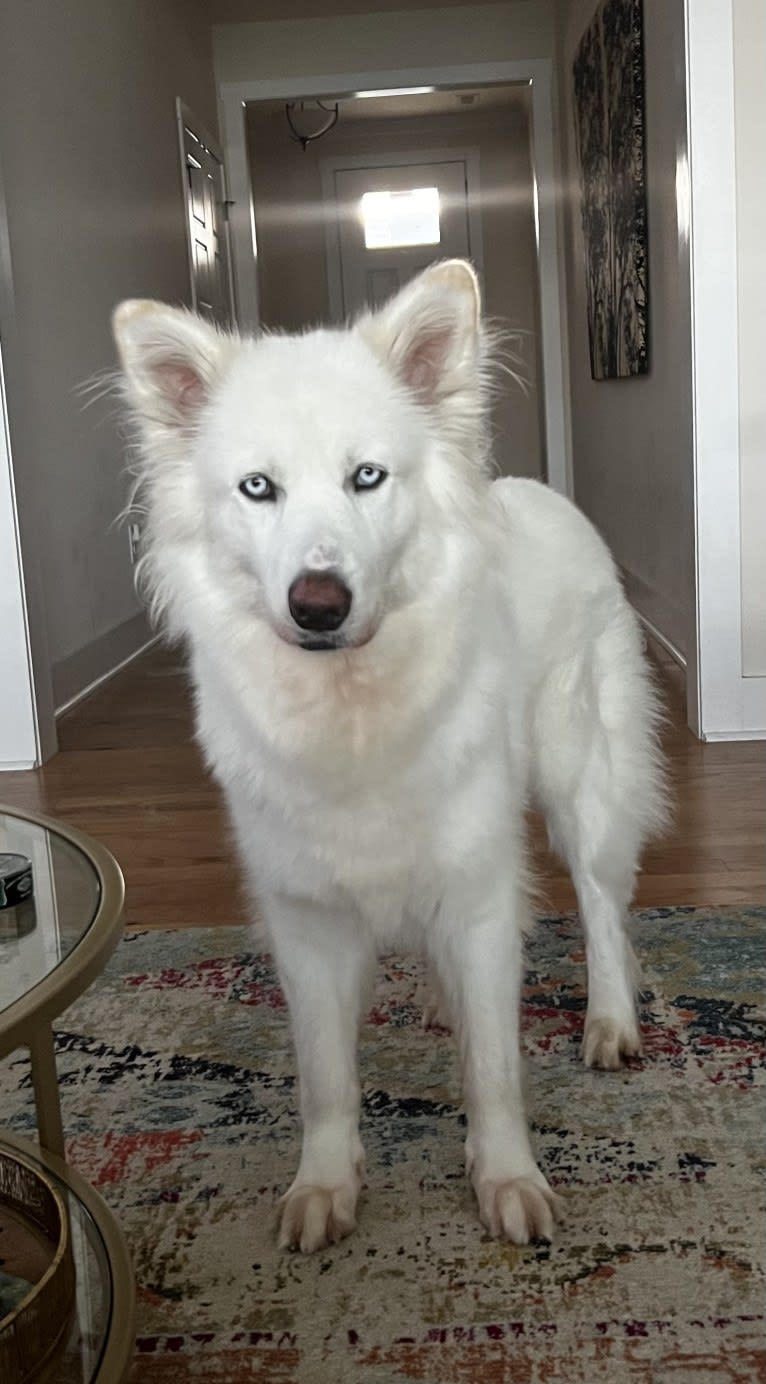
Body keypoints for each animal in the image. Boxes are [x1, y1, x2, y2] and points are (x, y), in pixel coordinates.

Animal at [112, 260, 662, 1256]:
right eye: (258, 489)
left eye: (367, 477)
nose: (318, 603)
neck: (354, 711)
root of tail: (540, 492)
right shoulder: (308, 922)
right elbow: (325, 1075)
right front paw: (325, 1188)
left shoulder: (482, 893)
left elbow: (494, 1069)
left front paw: (508, 1181)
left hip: (582, 784)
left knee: (604, 908)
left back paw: (609, 1022)